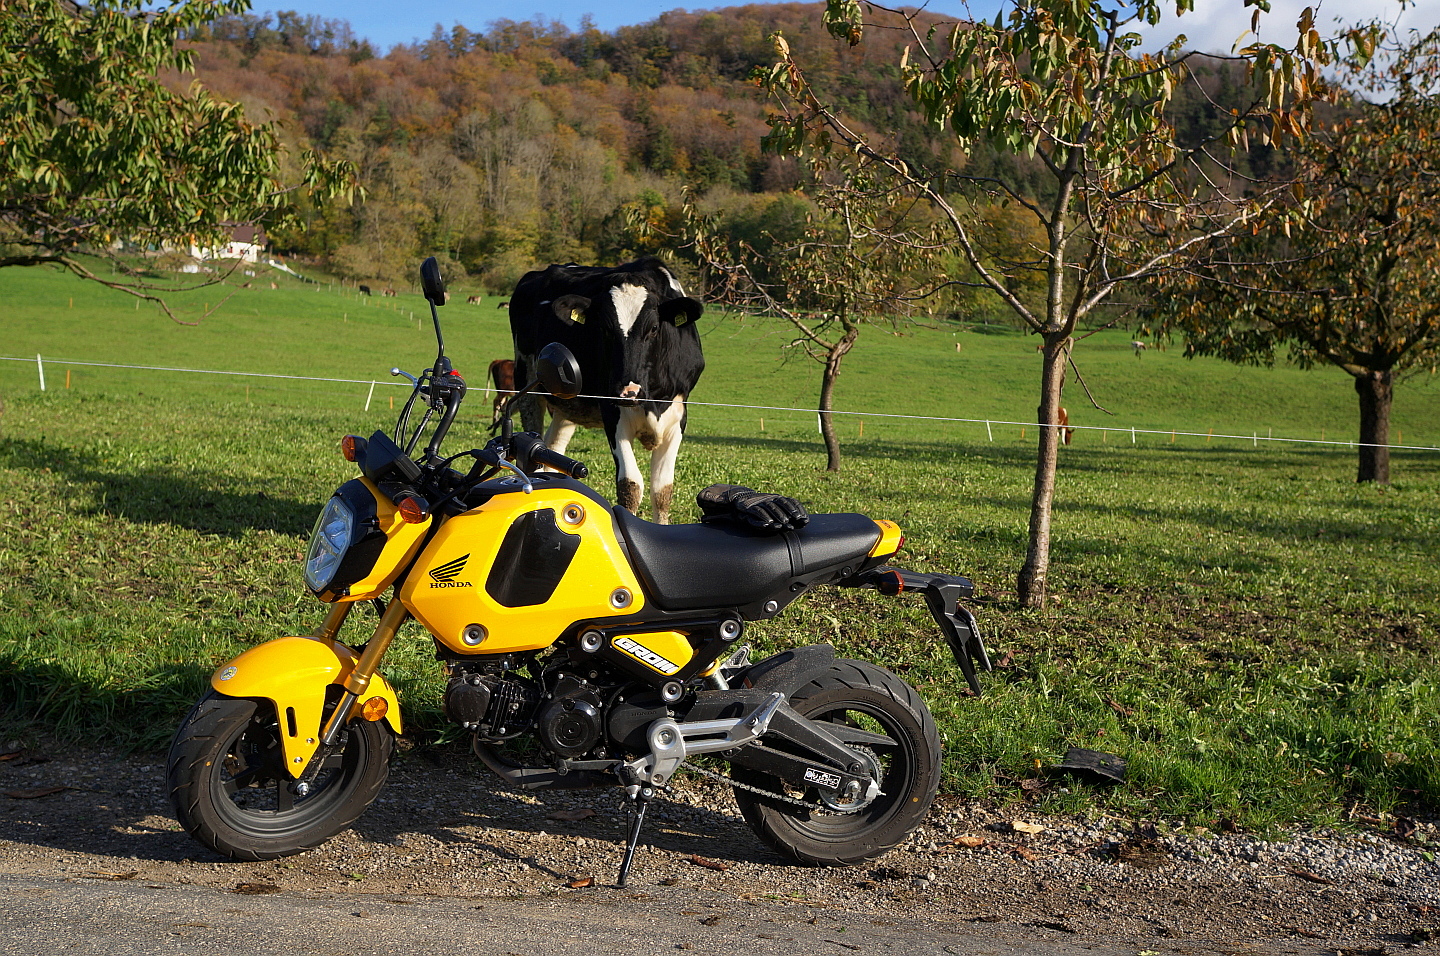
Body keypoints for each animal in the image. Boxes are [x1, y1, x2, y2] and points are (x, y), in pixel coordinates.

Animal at [508, 258, 704, 524]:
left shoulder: (678, 414)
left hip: (567, 403)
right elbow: (630, 485)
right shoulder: (612, 411)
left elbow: (662, 490)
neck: (653, 398)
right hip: (528, 383)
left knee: (552, 447)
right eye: (605, 329)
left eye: (654, 328)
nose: (628, 390)